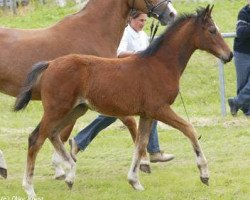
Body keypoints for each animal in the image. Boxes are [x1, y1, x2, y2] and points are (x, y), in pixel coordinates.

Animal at [0, 0, 178, 178]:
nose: (171, 14)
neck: (92, 32)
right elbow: (129, 122)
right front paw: (144, 162)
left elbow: (62, 133)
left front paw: (60, 167)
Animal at [14, 5, 232, 198]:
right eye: (212, 30)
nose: (228, 55)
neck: (161, 64)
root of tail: (50, 64)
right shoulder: (160, 109)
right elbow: (189, 129)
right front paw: (204, 174)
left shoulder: (147, 114)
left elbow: (140, 144)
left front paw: (135, 181)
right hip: (56, 109)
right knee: (36, 138)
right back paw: (30, 189)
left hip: (76, 109)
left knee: (53, 134)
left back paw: (70, 175)